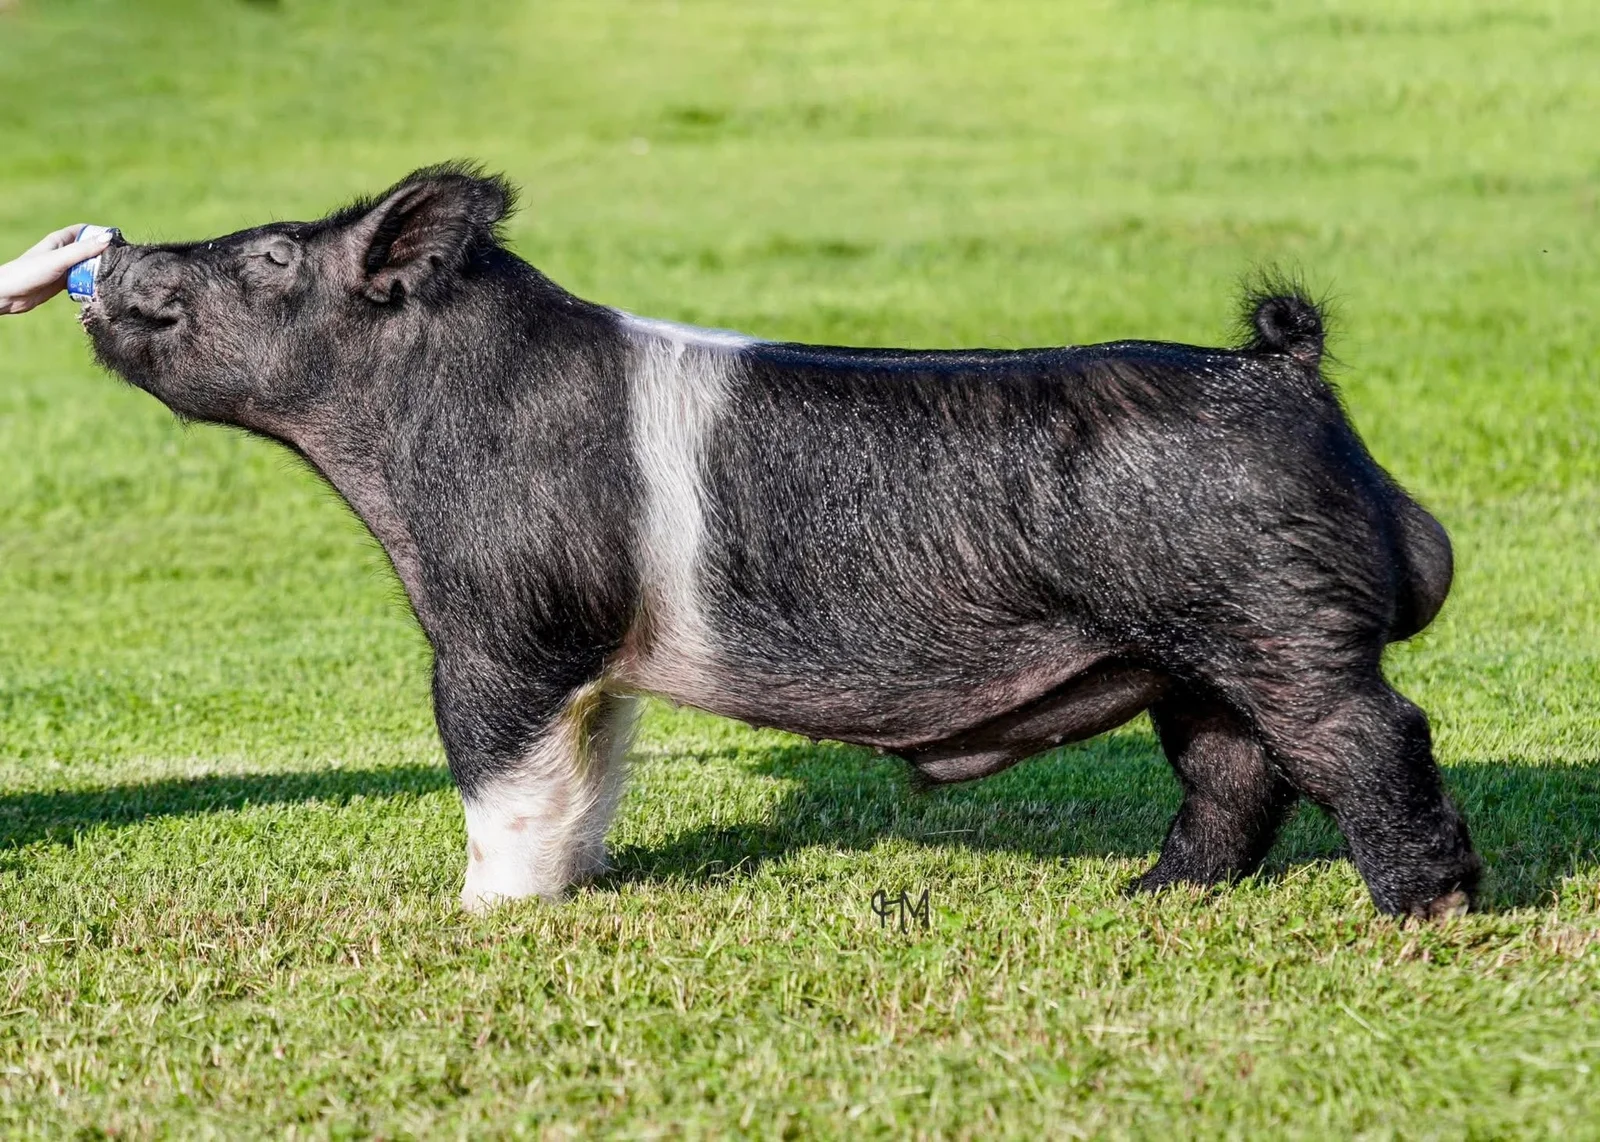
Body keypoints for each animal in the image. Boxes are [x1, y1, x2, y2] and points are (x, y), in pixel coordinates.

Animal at [80, 163, 1479, 918]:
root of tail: (1283, 370)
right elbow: (589, 772)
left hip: (1278, 616)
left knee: (1367, 738)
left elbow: (498, 778)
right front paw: (570, 886)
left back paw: (1423, 913)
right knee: (1235, 769)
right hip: (1192, 648)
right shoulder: (592, 661)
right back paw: (1150, 895)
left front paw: (480, 912)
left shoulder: (503, 625)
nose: (115, 246)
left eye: (271, 253)